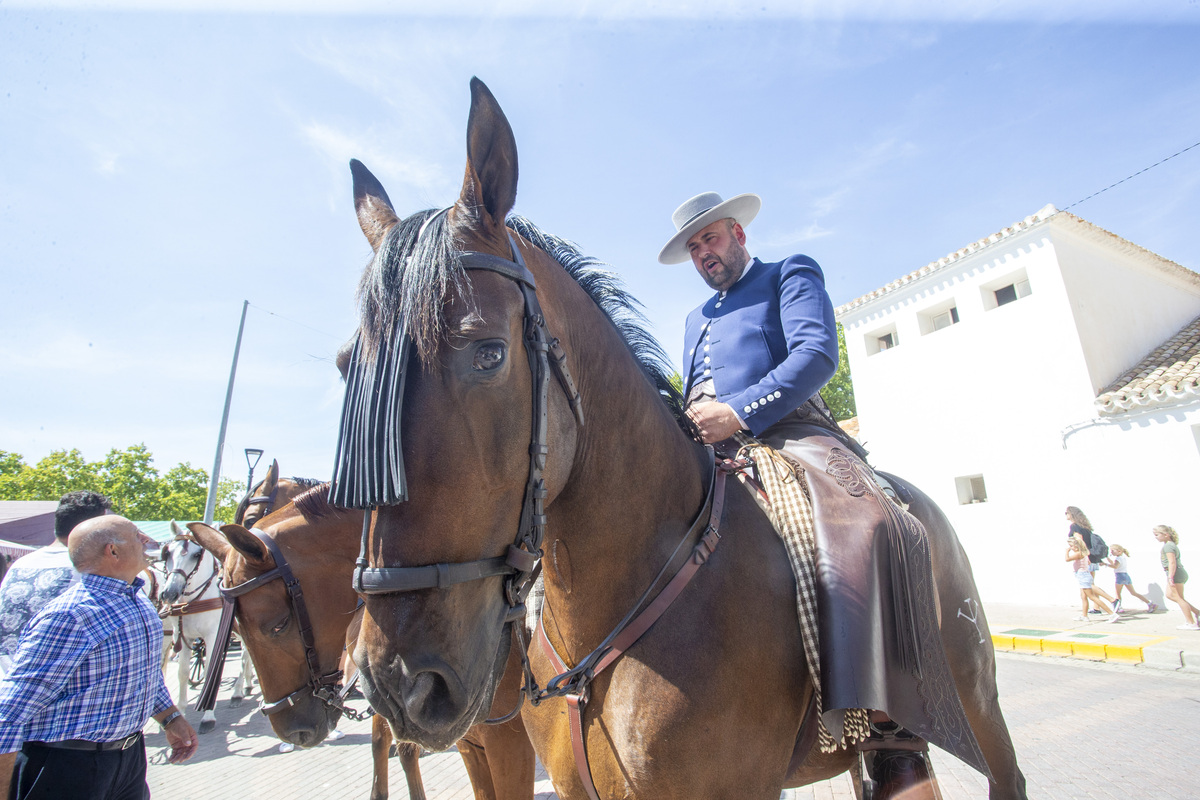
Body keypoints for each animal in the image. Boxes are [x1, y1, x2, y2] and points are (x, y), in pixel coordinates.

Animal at [159, 522, 255, 734]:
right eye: (167, 553)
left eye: (196, 554)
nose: (169, 593)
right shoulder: (181, 636)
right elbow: (182, 672)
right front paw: (182, 712)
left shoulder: (213, 634)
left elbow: (212, 665)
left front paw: (208, 717)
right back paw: (246, 684)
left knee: (245, 657)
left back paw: (238, 692)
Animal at [188, 489, 535, 800]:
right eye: (234, 627)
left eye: (277, 624)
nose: (293, 731)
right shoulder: (465, 742)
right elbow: (391, 745)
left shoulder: (508, 745)